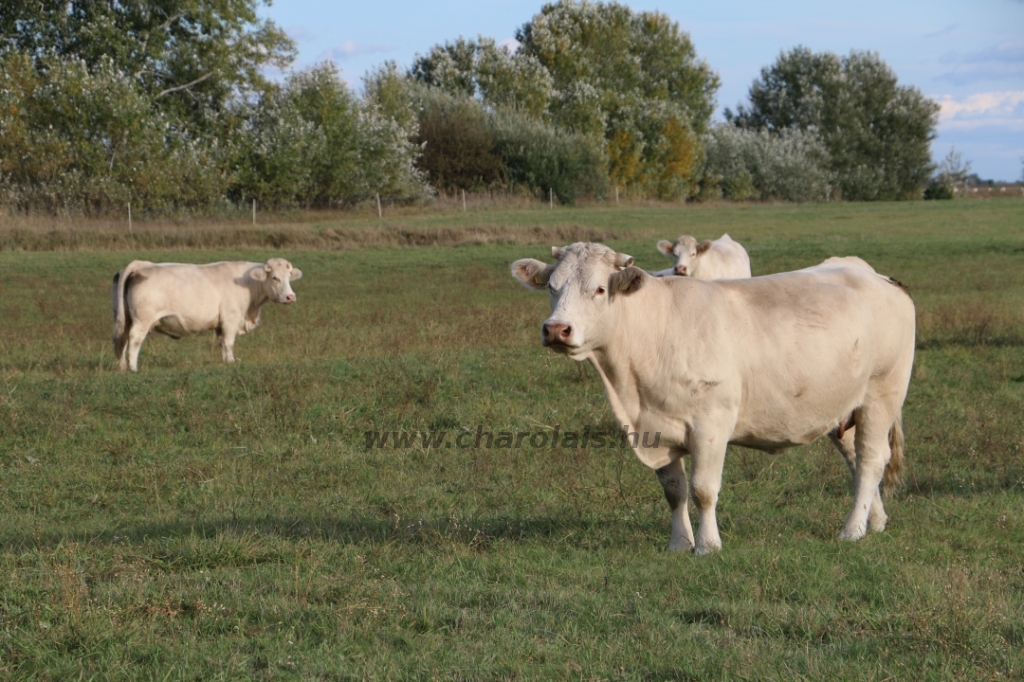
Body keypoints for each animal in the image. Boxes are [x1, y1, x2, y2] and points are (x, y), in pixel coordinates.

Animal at [114, 256, 303, 372]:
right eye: (274, 278)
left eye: (288, 277)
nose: (290, 297)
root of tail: (142, 264)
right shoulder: (230, 319)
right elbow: (228, 342)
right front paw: (231, 362)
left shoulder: (220, 324)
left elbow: (221, 343)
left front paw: (225, 361)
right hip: (142, 320)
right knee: (134, 339)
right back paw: (133, 368)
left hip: (125, 318)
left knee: (121, 339)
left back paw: (122, 366)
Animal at [507, 244, 917, 552]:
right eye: (552, 287)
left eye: (599, 289)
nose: (557, 329)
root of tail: (875, 275)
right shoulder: (656, 429)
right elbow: (674, 491)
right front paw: (679, 544)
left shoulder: (711, 423)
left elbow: (703, 489)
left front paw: (707, 545)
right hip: (843, 407)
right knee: (857, 460)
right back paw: (874, 520)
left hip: (882, 393)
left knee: (871, 460)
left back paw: (852, 530)